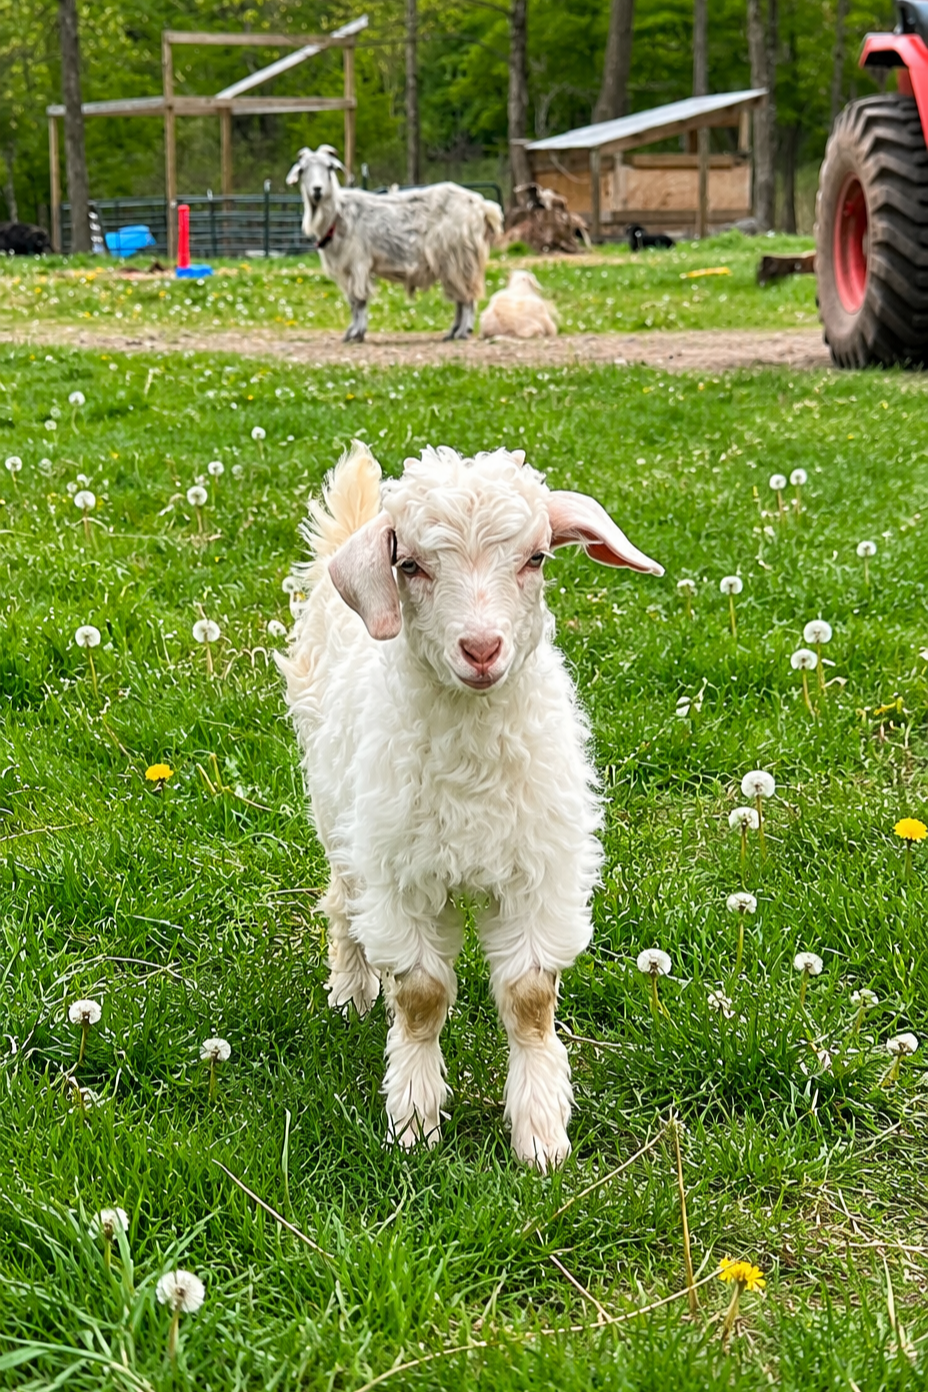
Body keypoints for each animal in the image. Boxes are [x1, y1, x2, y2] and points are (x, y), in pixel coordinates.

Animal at [277, 442, 663, 1170]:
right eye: (410, 565)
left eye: (536, 558)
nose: (481, 650)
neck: (474, 762)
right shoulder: (403, 877)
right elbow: (421, 998)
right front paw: (414, 1122)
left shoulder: (539, 870)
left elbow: (530, 999)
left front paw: (541, 1136)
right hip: (340, 814)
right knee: (342, 902)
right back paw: (351, 990)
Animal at [286, 146, 503, 343]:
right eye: (303, 169)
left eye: (329, 167)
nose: (317, 190)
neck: (338, 213)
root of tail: (482, 206)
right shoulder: (346, 267)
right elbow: (353, 301)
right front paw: (353, 333)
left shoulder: (358, 262)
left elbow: (358, 300)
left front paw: (356, 333)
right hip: (452, 261)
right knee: (460, 296)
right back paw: (452, 332)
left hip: (460, 256)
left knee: (467, 298)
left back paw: (462, 332)